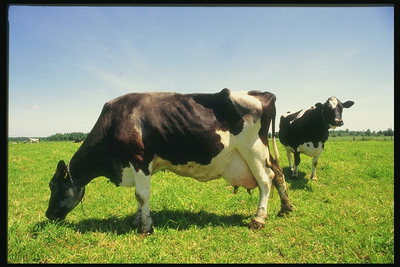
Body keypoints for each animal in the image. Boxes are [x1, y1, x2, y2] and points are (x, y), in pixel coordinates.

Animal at [46, 88, 294, 234]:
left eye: (55, 187)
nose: (48, 215)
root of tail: (262, 93)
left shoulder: (139, 159)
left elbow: (141, 195)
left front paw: (145, 227)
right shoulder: (134, 164)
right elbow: (138, 196)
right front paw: (137, 220)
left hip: (252, 149)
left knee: (266, 180)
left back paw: (259, 219)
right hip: (262, 152)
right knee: (278, 172)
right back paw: (286, 208)